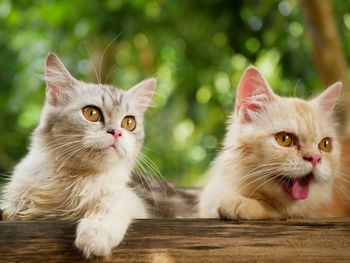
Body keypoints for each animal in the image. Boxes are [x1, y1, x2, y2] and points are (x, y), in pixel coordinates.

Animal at [0, 52, 156, 258]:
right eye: (91, 113)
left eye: (129, 123)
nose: (116, 132)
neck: (74, 180)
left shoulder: (135, 202)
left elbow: (114, 200)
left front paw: (96, 234)